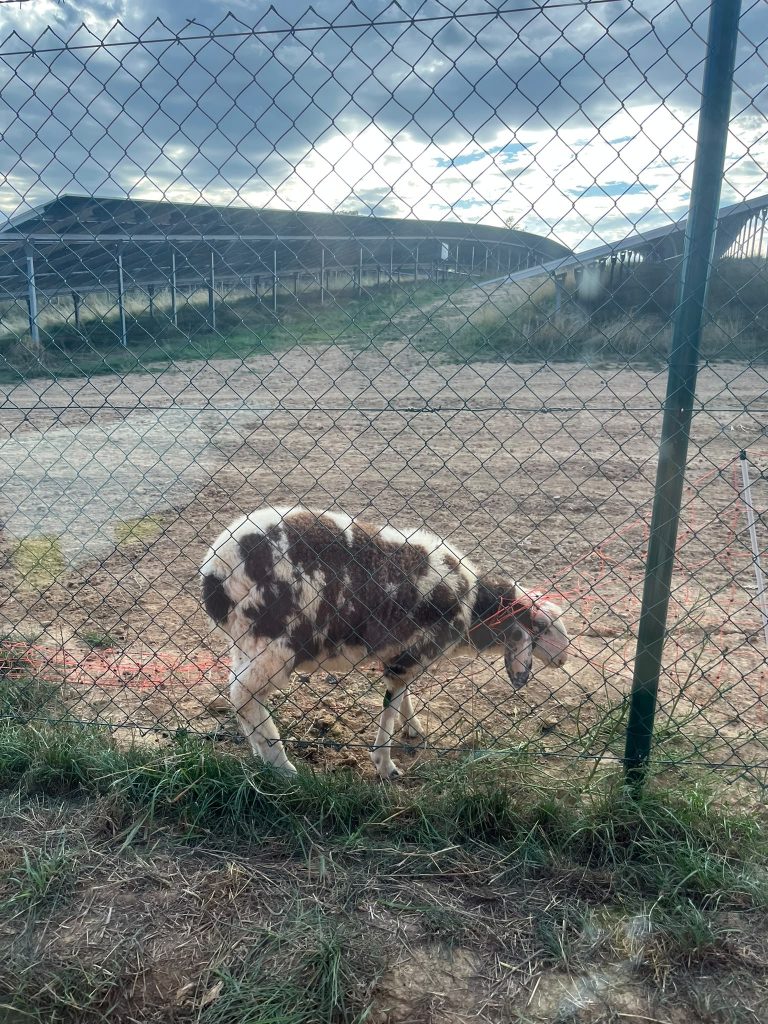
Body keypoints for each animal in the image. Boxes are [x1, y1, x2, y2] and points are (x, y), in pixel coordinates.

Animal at [200, 506, 570, 780]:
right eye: (541, 625)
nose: (564, 658)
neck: (473, 605)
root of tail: (215, 569)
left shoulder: (401, 654)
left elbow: (403, 695)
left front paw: (413, 729)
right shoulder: (411, 654)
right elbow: (390, 706)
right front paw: (385, 764)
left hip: (244, 641)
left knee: (243, 696)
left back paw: (260, 753)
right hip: (275, 641)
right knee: (243, 695)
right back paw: (281, 765)